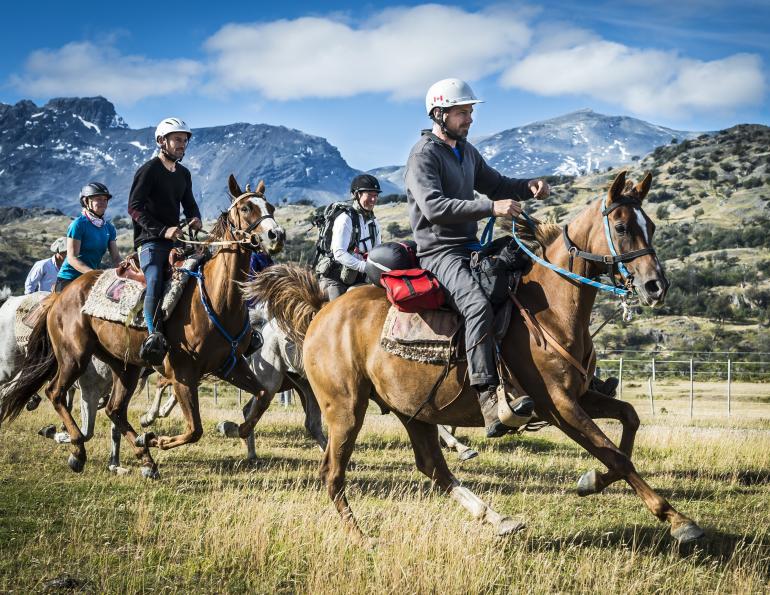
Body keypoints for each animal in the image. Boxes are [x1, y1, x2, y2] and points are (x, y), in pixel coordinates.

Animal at [0, 175, 284, 479]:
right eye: (245, 208)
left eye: (270, 207)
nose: (276, 235)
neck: (218, 300)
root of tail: (61, 296)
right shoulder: (183, 373)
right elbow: (194, 429)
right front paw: (155, 438)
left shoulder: (230, 365)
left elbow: (263, 397)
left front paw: (231, 427)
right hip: (73, 357)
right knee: (56, 393)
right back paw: (79, 451)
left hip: (126, 367)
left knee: (115, 410)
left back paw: (145, 459)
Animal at [245, 171, 704, 545]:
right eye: (623, 226)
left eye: (651, 225)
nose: (656, 286)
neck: (552, 309)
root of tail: (322, 312)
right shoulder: (559, 405)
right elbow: (614, 453)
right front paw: (679, 521)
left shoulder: (581, 395)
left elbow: (629, 420)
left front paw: (591, 482)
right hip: (346, 409)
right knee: (333, 474)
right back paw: (363, 538)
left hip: (413, 411)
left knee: (433, 468)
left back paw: (496, 518)